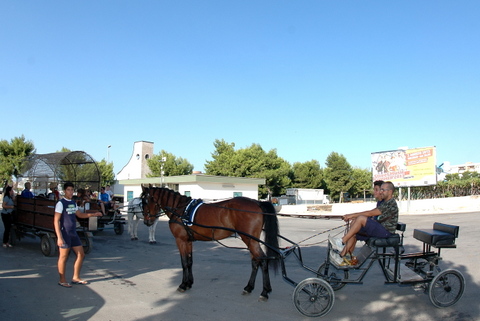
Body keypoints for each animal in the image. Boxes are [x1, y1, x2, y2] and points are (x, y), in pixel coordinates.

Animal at [141, 185, 280, 300]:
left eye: (145, 201)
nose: (147, 221)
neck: (180, 210)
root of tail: (257, 202)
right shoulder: (188, 241)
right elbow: (190, 262)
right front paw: (189, 283)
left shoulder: (181, 240)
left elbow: (184, 263)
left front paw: (183, 285)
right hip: (251, 241)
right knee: (256, 261)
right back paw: (249, 287)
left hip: (250, 240)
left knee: (262, 260)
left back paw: (264, 292)